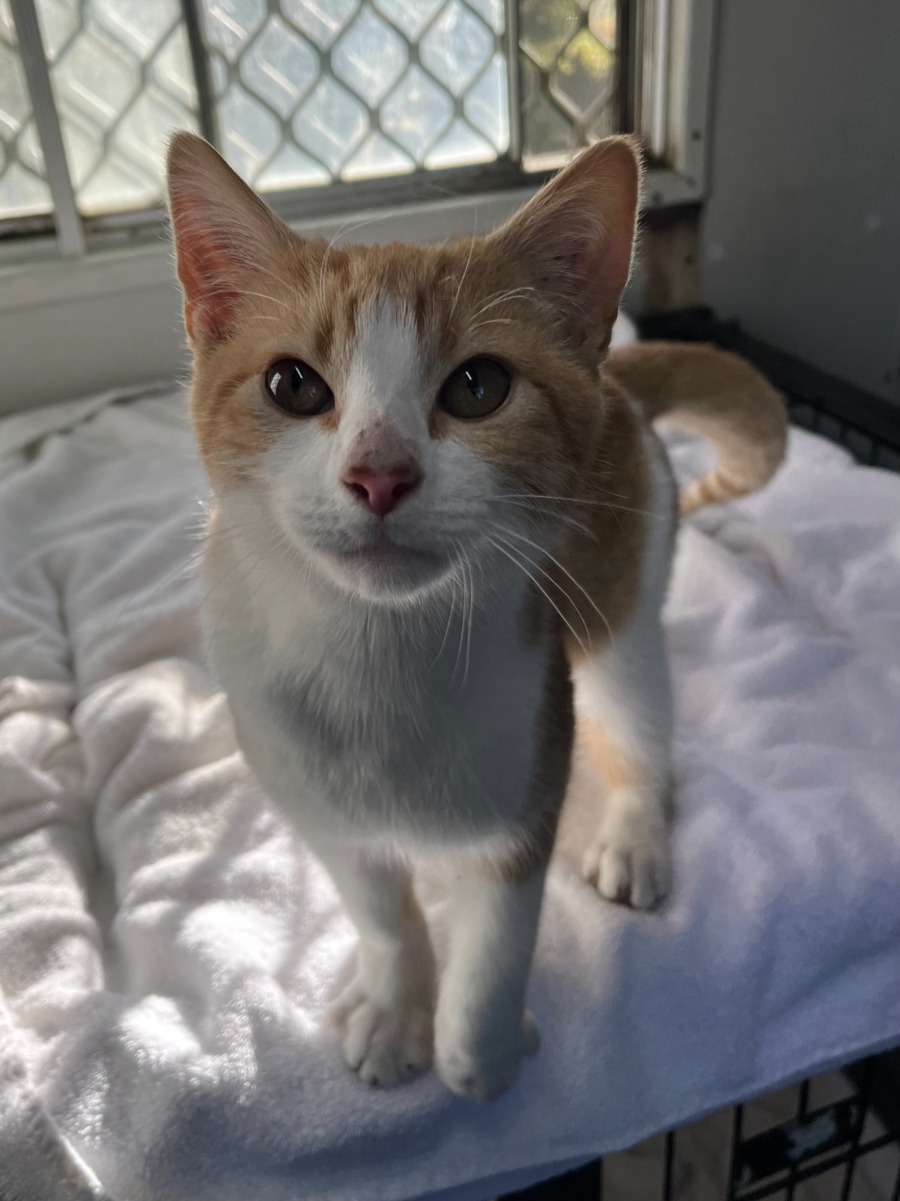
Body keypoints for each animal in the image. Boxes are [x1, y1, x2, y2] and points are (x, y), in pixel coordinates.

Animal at [166, 131, 786, 1101]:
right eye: (292, 384)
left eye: (480, 387)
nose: (379, 473)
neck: (378, 653)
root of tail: (614, 377)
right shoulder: (310, 791)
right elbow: (379, 909)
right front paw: (394, 1004)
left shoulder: (533, 746)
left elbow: (500, 925)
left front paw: (478, 1043)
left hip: (621, 613)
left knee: (642, 725)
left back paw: (635, 830)